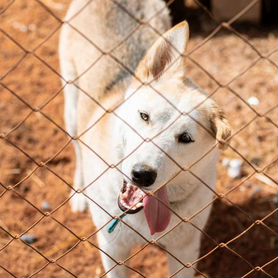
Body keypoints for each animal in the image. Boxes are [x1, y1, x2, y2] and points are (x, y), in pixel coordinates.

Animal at [59, 1, 231, 276]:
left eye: (185, 138)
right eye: (144, 116)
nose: (142, 175)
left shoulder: (184, 251)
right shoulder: (113, 249)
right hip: (72, 108)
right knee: (77, 147)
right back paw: (79, 192)